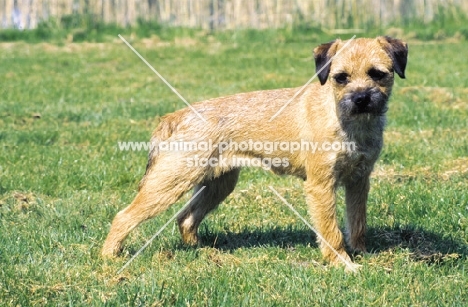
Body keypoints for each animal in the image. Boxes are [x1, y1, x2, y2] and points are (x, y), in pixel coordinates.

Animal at [101, 36, 406, 270]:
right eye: (341, 78)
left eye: (377, 74)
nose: (361, 98)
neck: (346, 120)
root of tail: (179, 114)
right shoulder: (321, 185)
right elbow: (331, 230)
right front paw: (344, 264)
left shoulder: (359, 181)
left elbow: (357, 222)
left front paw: (362, 252)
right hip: (171, 181)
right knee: (124, 216)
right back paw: (109, 256)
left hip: (217, 185)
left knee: (186, 218)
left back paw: (202, 251)